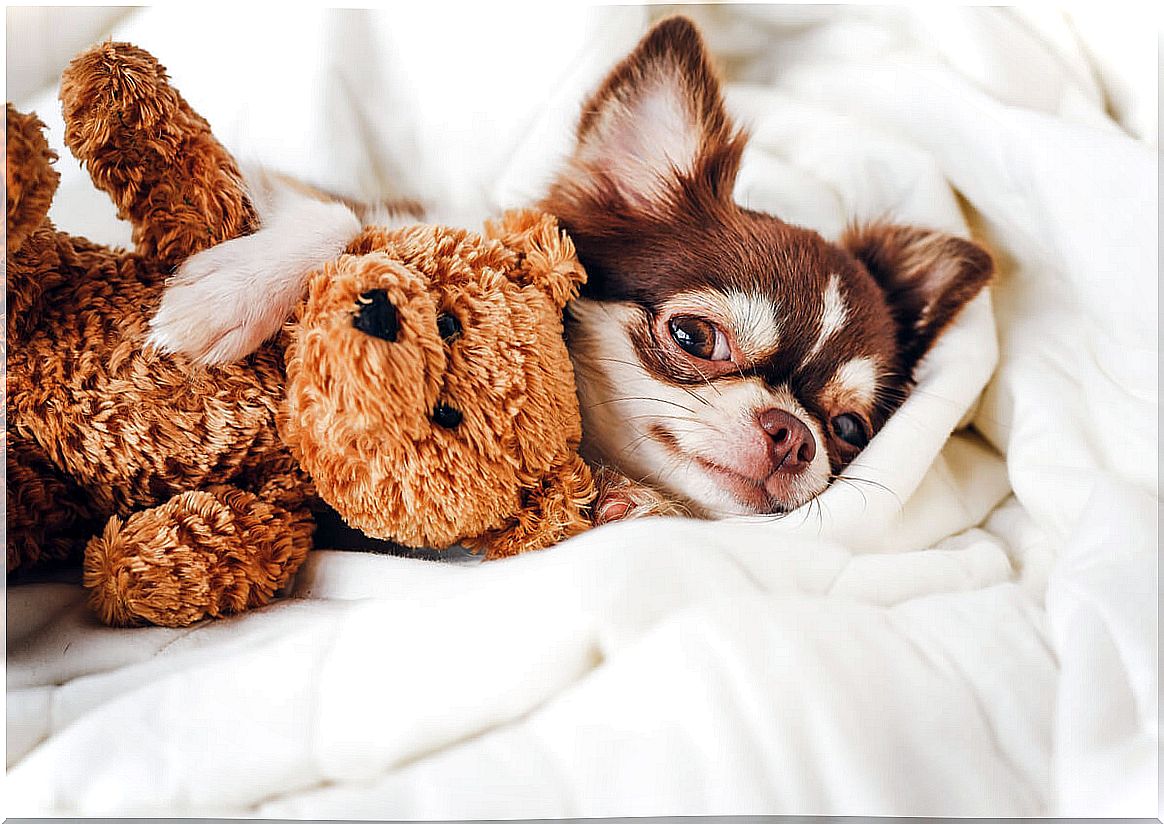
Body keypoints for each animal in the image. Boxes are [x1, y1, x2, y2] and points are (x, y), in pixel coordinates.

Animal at [147, 16, 991, 523]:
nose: (793, 435)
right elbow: (346, 221)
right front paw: (223, 298)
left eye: (848, 429)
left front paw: (630, 503)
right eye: (694, 337)